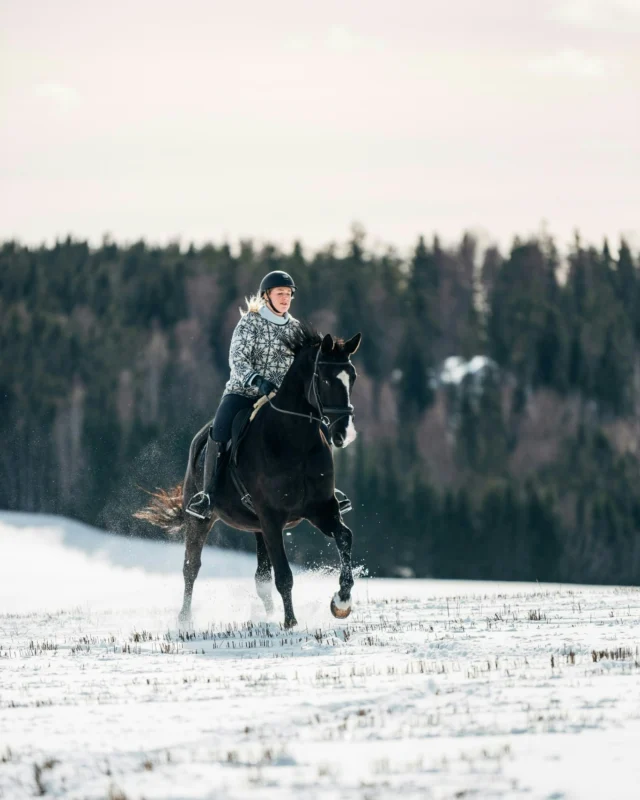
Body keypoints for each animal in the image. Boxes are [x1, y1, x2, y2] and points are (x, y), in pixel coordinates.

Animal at [134, 322, 360, 628]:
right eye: (324, 380)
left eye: (352, 378)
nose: (344, 434)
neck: (294, 441)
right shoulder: (272, 517)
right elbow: (285, 575)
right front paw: (291, 624)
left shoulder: (320, 510)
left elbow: (345, 537)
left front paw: (341, 602)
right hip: (202, 520)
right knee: (191, 567)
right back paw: (184, 619)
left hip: (258, 528)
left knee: (261, 577)